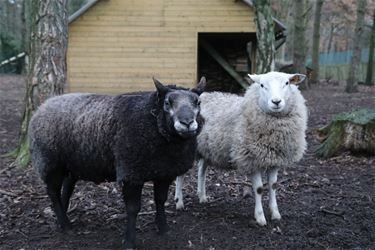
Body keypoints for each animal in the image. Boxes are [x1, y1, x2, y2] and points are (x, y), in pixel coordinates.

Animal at [175, 71, 306, 226]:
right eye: (262, 85)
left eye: (287, 83)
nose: (276, 102)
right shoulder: (251, 158)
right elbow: (259, 189)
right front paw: (260, 218)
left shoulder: (275, 160)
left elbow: (273, 185)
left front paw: (275, 213)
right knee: (181, 174)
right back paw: (179, 202)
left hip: (207, 148)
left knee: (202, 170)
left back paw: (202, 196)